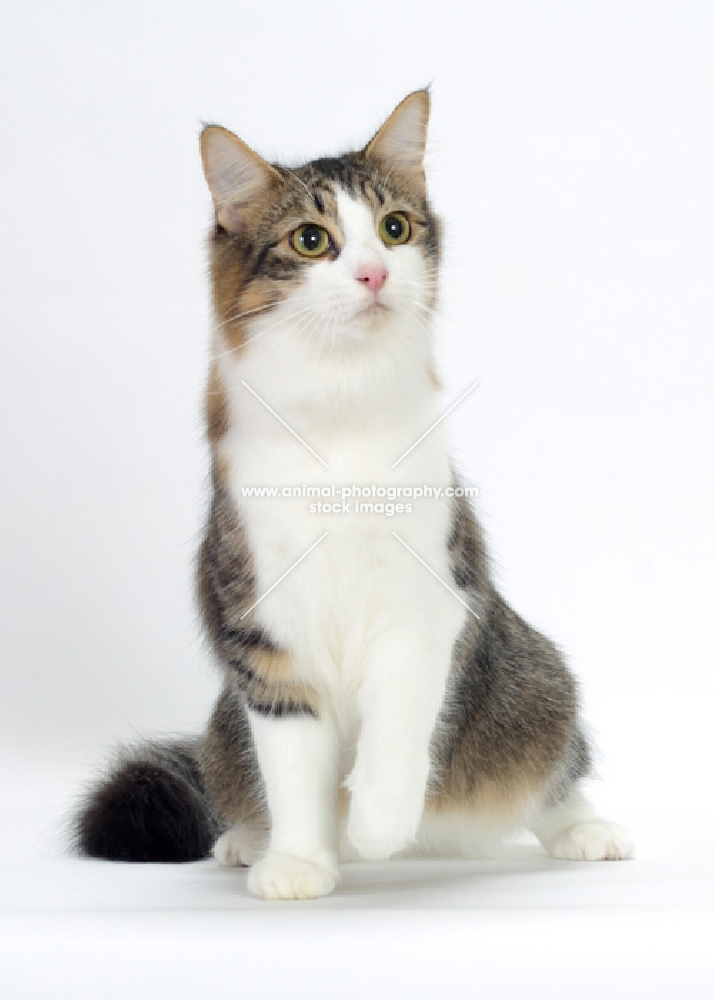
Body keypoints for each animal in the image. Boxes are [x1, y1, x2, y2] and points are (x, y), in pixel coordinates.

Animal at [75, 90, 632, 900]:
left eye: (394, 229)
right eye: (312, 241)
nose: (372, 274)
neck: (340, 411)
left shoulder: (429, 600)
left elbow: (397, 723)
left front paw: (376, 824)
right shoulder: (263, 639)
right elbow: (293, 768)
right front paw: (302, 862)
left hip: (534, 683)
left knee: (555, 773)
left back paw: (584, 830)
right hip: (225, 727)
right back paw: (247, 839)